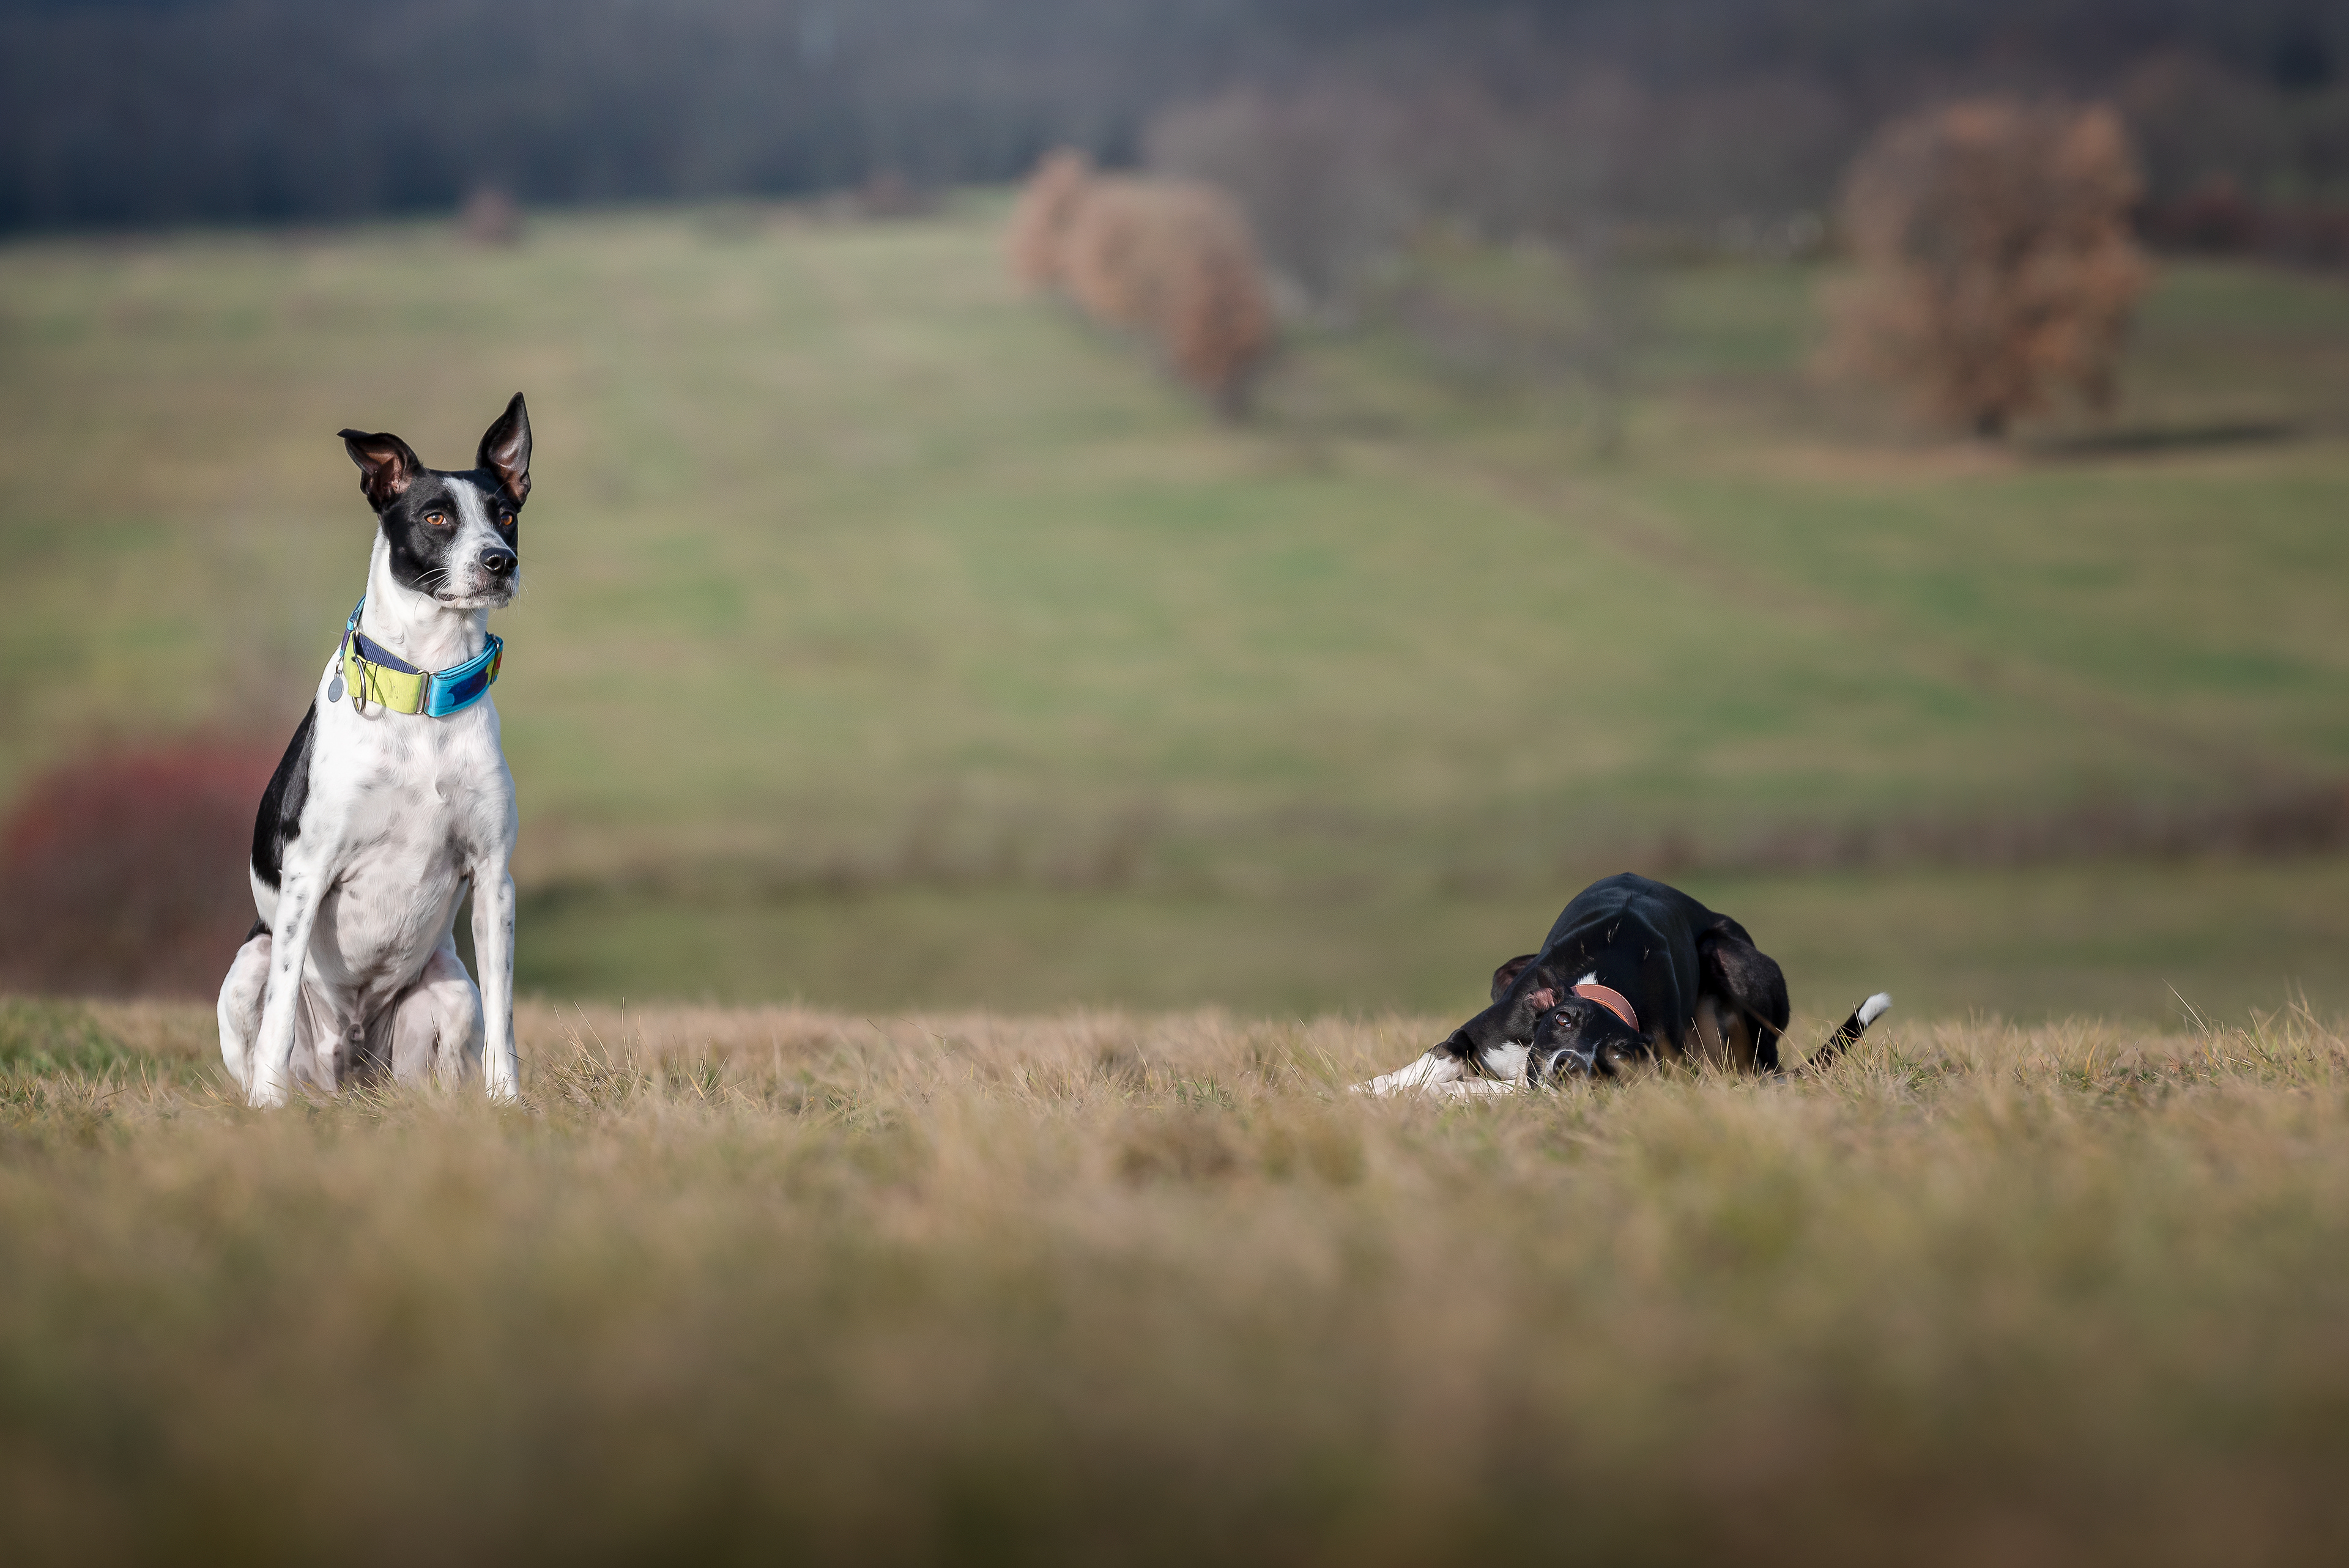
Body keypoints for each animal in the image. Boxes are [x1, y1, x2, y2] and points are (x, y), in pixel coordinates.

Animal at [217, 395, 532, 1107]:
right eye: (436, 516)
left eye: (505, 515)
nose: (500, 561)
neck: (424, 695)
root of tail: (350, 1069)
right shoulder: (309, 876)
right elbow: (279, 1016)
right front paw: (268, 1106)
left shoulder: (493, 878)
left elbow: (506, 1013)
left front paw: (509, 1102)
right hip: (249, 964)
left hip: (452, 989)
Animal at [1361, 872, 1889, 1097]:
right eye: (1563, 1019)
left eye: (1617, 1051)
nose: (1570, 1065)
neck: (1602, 984)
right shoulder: (1480, 1032)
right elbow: (1433, 1062)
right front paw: (1364, 1090)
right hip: (1505, 972)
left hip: (1738, 967)